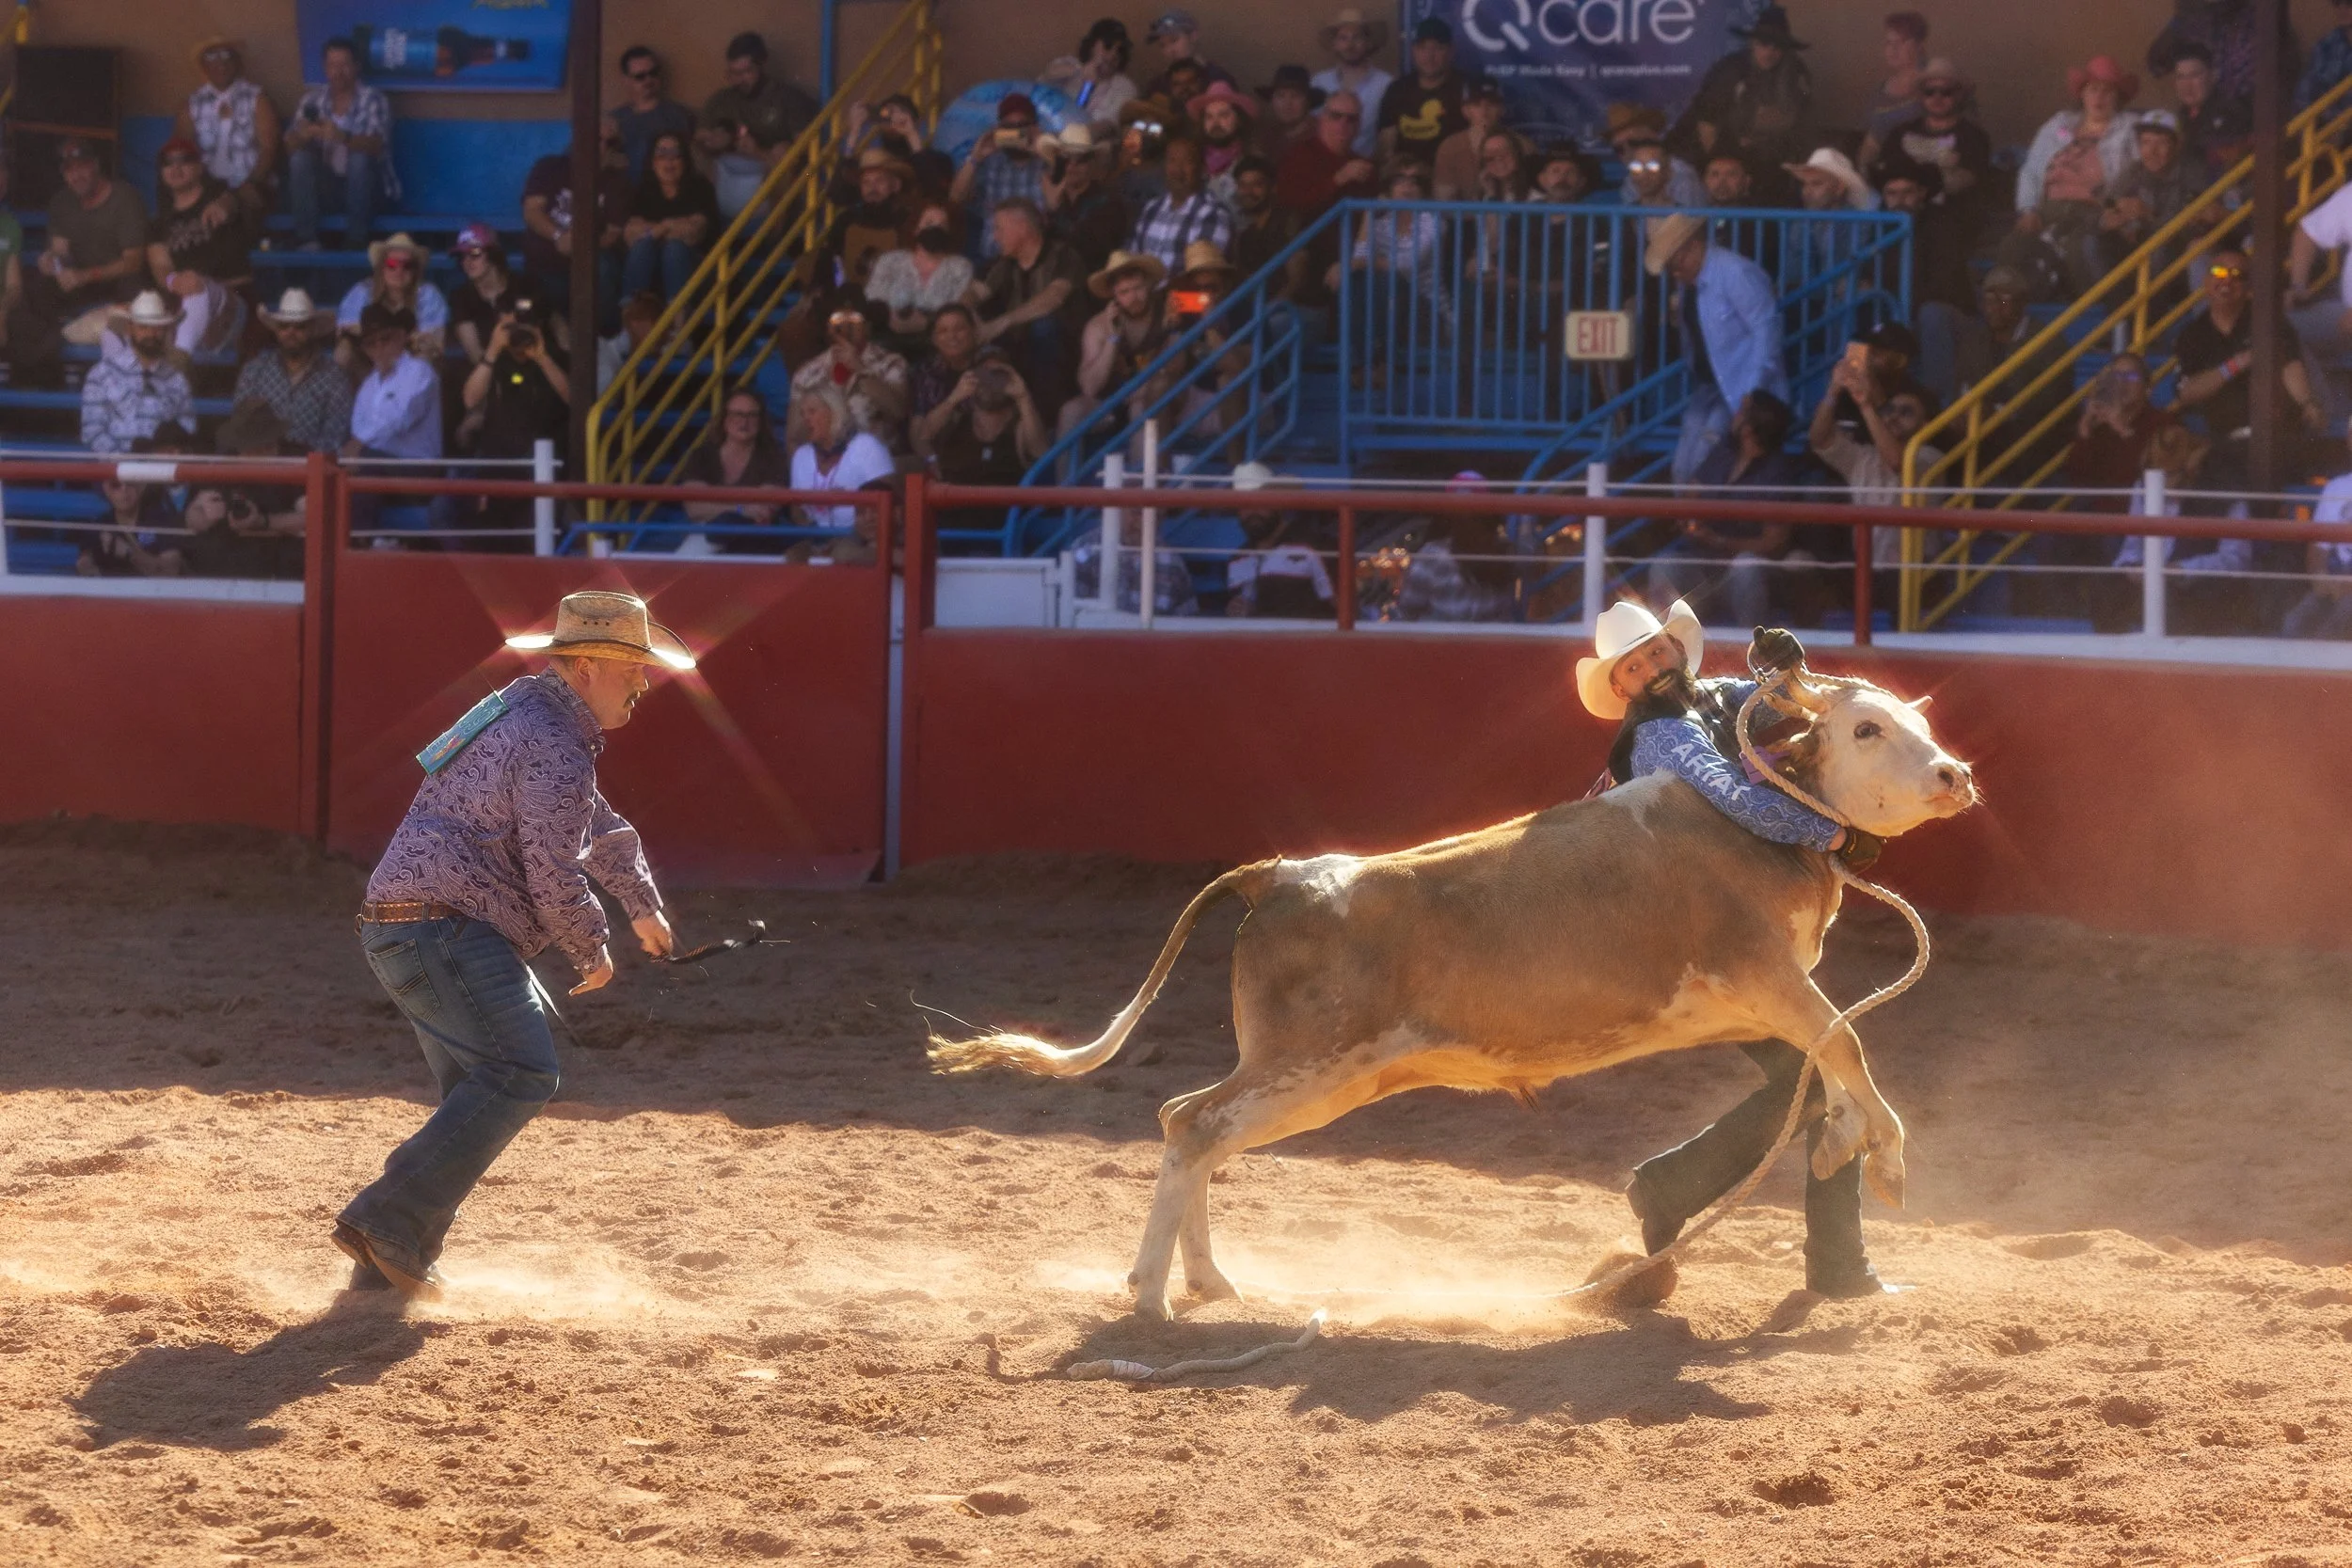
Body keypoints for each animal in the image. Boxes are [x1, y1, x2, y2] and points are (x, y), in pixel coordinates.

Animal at [929, 673, 1977, 1320]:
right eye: (1865, 727)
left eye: (1915, 720)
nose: (1954, 772)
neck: (1750, 819)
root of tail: (1282, 875)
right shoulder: (1765, 973)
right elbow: (1847, 1046)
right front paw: (1886, 1160)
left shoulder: (1767, 1000)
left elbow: (1826, 1062)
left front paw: (1841, 1147)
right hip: (1311, 1064)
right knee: (1194, 1124)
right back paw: (1150, 1290)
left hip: (1321, 1077)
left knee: (1189, 1119)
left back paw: (1210, 1279)